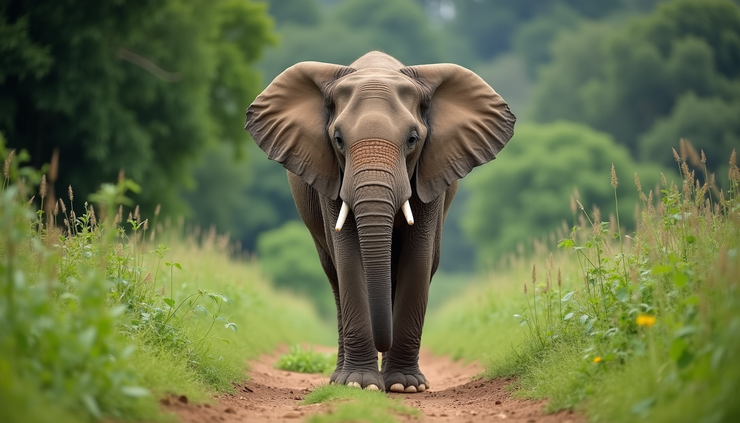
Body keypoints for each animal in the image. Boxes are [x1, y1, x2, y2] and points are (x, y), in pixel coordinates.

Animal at [245, 51, 515, 393]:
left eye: (412, 139)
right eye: (338, 140)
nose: (381, 343)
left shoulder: (430, 174)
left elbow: (419, 256)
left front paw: (405, 386)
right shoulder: (332, 176)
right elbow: (348, 258)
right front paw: (359, 384)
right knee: (335, 277)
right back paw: (340, 379)